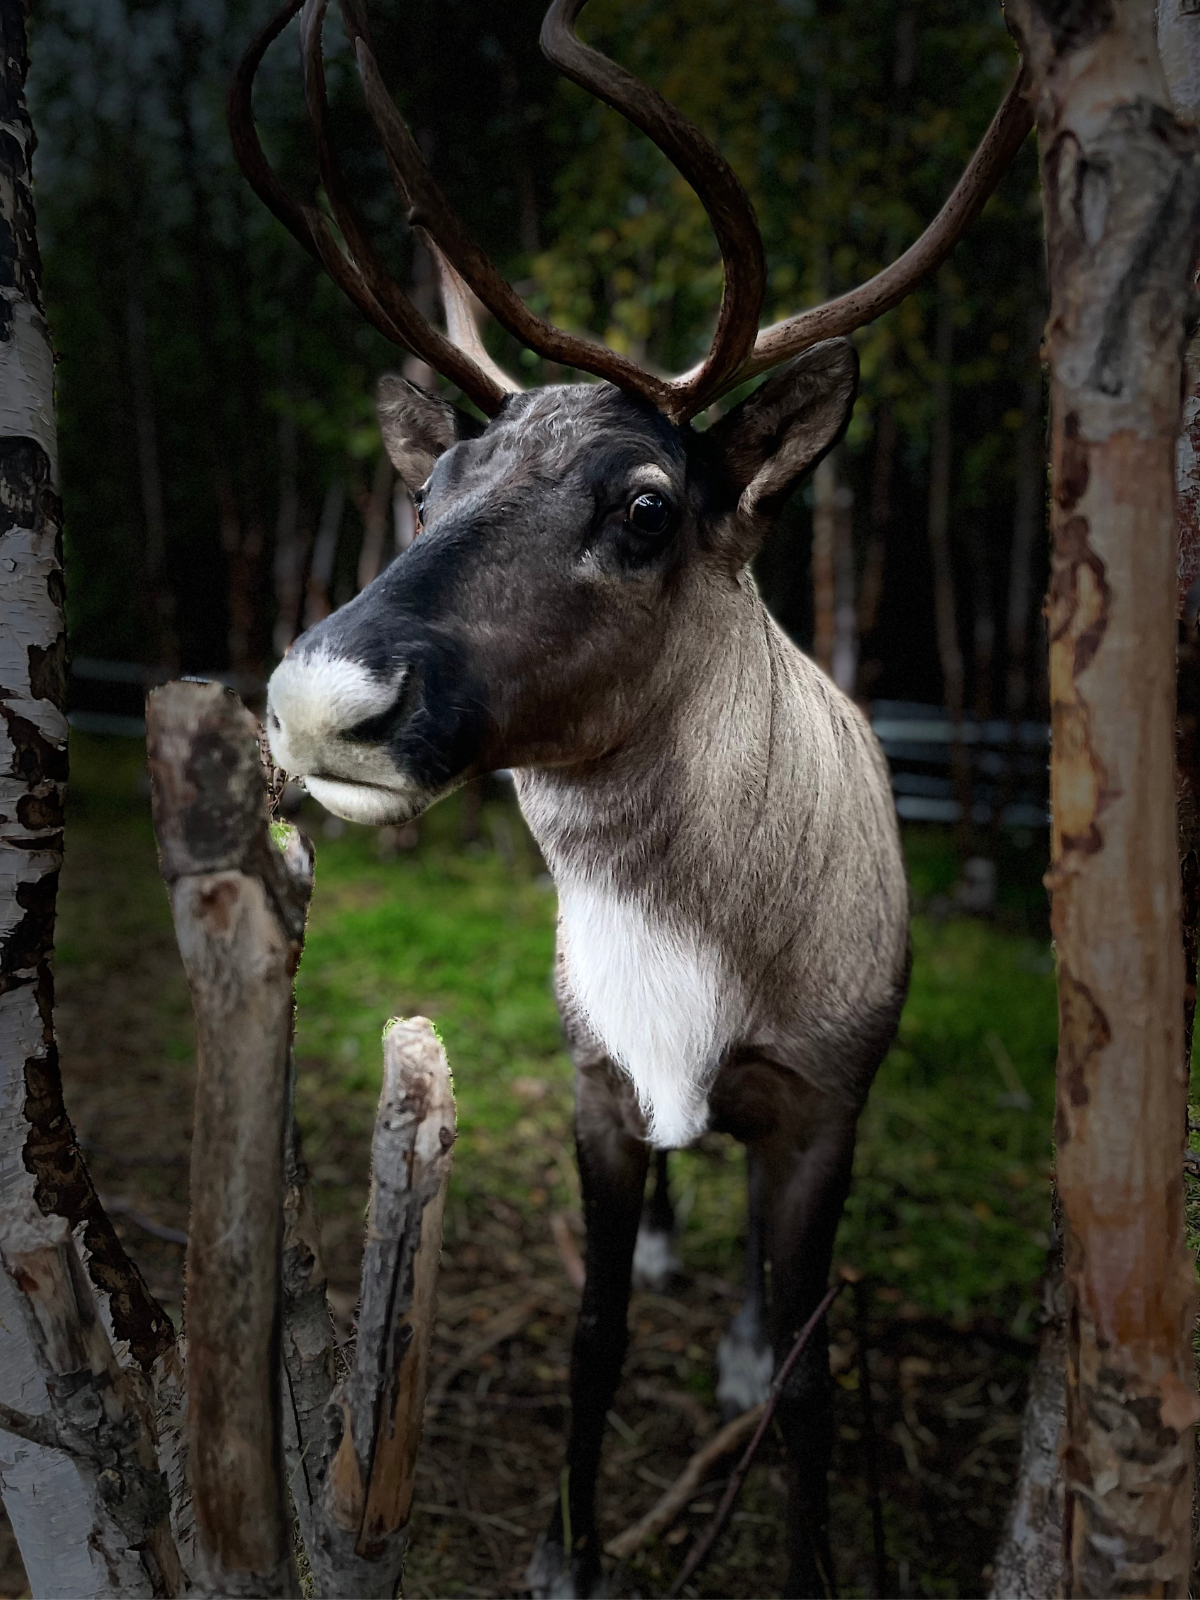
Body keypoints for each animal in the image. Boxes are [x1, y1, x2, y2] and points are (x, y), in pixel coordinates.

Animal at [231, 4, 1031, 1593]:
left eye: (648, 505)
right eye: (435, 488)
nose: (319, 695)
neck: (699, 963)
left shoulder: (825, 1103)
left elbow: (813, 1384)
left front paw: (804, 1543)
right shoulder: (597, 1085)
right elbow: (591, 1337)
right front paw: (566, 1549)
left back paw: (730, 1332)